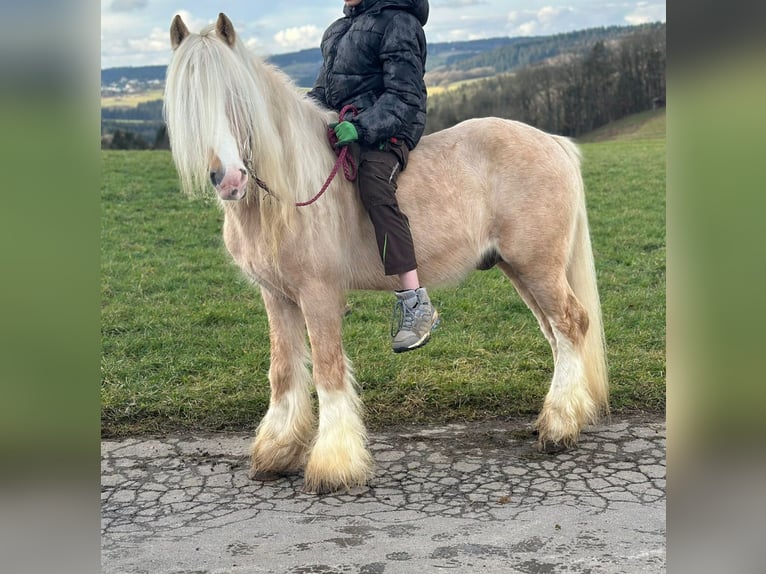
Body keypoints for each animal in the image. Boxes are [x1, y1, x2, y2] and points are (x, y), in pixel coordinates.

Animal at [165, 13, 608, 496]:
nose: (228, 178)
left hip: (539, 267)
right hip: (522, 270)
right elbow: (283, 371)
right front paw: (277, 452)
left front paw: (334, 464)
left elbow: (328, 370)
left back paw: (560, 427)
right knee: (558, 334)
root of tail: (553, 142)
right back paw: (561, 417)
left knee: (571, 324)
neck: (286, 193)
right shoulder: (277, 297)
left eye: (237, 97)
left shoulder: (318, 295)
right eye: (187, 103)